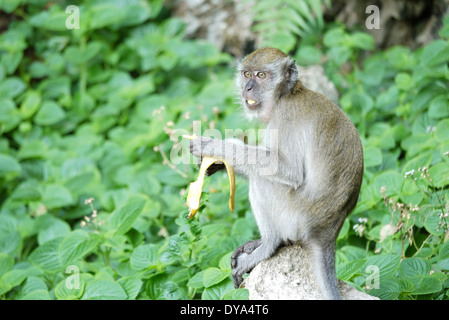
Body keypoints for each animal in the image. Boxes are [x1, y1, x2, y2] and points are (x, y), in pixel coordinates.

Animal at [187, 47, 362, 300]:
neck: (288, 94)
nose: (248, 88)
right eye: (247, 74)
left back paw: (269, 244)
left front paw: (215, 146)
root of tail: (326, 233)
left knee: (263, 181)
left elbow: (287, 170)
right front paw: (217, 162)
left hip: (293, 217)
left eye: (261, 75)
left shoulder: (285, 116)